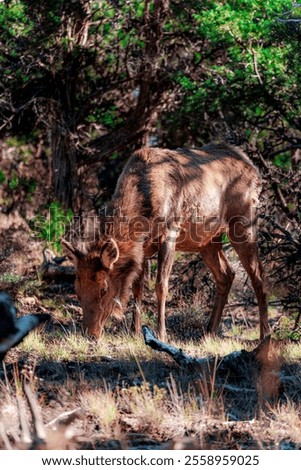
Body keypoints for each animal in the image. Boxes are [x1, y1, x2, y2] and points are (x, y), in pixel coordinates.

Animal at [62, 142, 268, 342]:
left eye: (104, 289)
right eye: (77, 289)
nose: (89, 334)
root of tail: (253, 169)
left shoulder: (170, 231)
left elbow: (161, 285)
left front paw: (161, 334)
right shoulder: (142, 247)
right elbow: (138, 286)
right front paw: (135, 331)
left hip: (244, 223)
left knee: (258, 276)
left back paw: (264, 334)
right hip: (207, 240)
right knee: (226, 274)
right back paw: (209, 331)